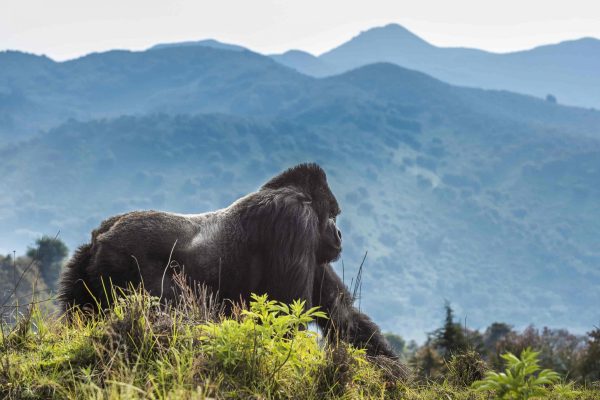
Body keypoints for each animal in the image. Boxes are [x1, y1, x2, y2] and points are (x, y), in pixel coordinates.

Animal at [57, 164, 398, 358]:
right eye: (334, 216)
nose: (339, 233)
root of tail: (99, 235)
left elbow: (343, 315)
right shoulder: (295, 221)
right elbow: (287, 314)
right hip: (121, 259)